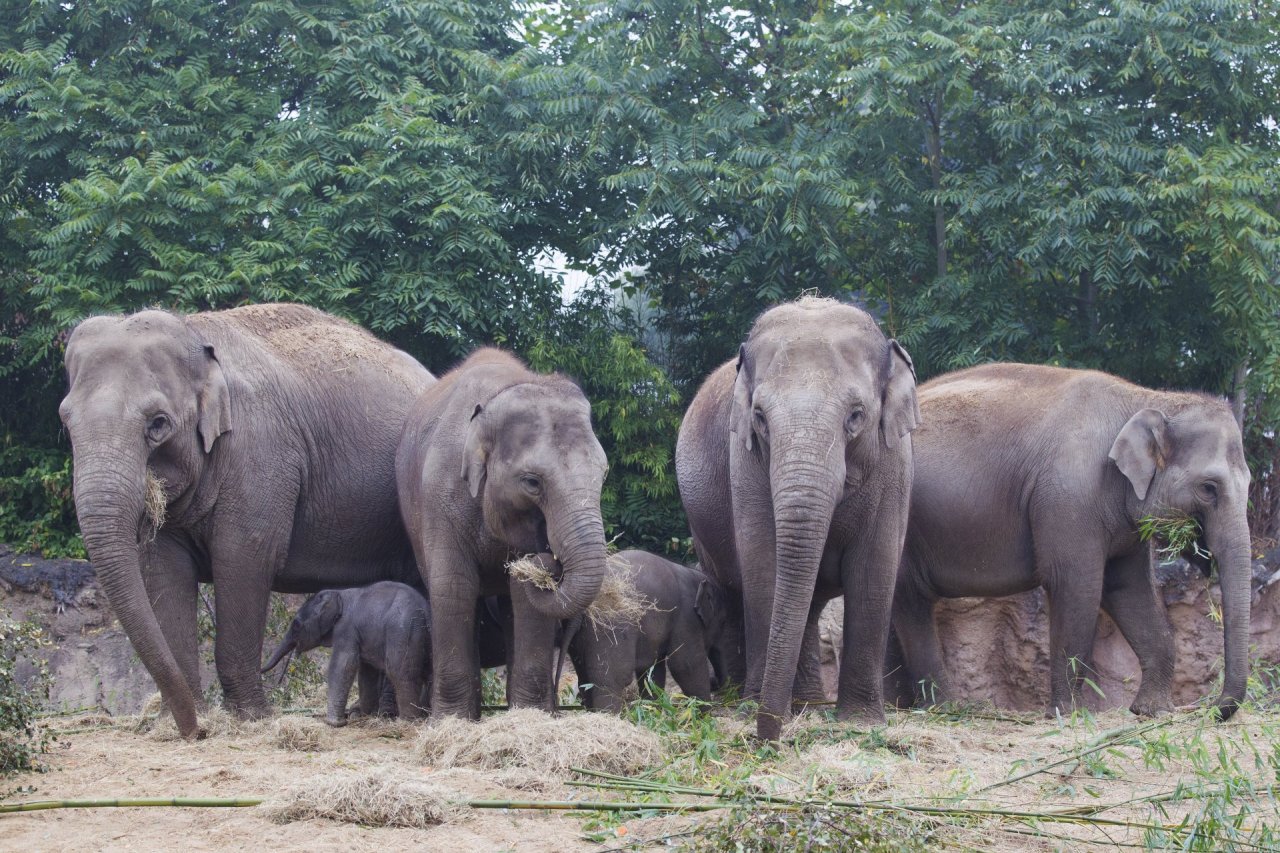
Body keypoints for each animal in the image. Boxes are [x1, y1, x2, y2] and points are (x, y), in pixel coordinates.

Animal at [261, 581, 431, 726]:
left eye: (296, 624)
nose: (261, 670)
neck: (338, 593)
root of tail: (424, 609)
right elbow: (366, 672)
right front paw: (365, 714)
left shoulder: (346, 629)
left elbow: (343, 665)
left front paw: (333, 723)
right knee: (429, 672)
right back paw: (425, 713)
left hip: (403, 631)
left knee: (400, 672)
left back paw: (407, 722)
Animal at [396, 347, 609, 719]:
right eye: (532, 482)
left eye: (604, 473)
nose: (547, 556)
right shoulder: (440, 498)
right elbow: (453, 586)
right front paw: (450, 721)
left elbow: (525, 596)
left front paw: (531, 716)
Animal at [558, 550, 736, 712]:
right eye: (723, 622)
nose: (714, 681)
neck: (694, 574)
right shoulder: (686, 618)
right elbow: (686, 664)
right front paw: (704, 715)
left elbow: (653, 671)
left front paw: (653, 711)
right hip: (609, 627)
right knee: (612, 678)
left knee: (584, 677)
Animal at [675, 296, 920, 739]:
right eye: (759, 417)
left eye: (856, 415)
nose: (766, 741)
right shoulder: (745, 462)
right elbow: (763, 565)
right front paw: (757, 709)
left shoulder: (895, 463)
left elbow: (873, 570)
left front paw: (861, 722)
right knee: (735, 592)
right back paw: (765, 700)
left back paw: (805, 704)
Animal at [892, 363, 1252, 720]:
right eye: (1209, 487)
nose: (1213, 709)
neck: (1148, 398)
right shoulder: (1069, 498)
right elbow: (1076, 586)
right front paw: (1069, 713)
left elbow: (1129, 589)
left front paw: (1153, 711)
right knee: (911, 599)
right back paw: (945, 708)